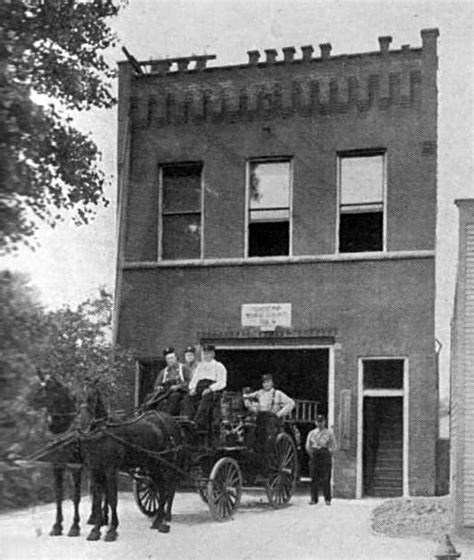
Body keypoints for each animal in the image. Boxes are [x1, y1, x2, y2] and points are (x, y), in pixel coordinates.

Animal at [28, 370, 108, 536]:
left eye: (47, 388)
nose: (30, 401)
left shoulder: (75, 466)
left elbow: (75, 497)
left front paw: (74, 527)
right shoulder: (56, 465)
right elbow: (59, 495)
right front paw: (57, 525)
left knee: (103, 489)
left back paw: (103, 518)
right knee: (95, 489)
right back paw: (93, 517)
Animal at [81, 412, 185, 544]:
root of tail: (172, 420)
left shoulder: (111, 471)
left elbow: (112, 499)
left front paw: (111, 530)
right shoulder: (94, 471)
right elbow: (97, 500)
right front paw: (95, 530)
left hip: (167, 465)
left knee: (170, 489)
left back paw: (165, 520)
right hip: (152, 465)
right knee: (160, 488)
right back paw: (158, 520)